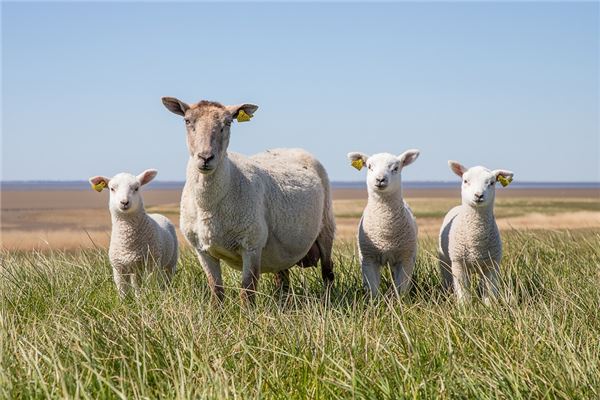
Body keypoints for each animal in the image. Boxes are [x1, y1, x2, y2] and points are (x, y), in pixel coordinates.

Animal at [162, 97, 336, 304]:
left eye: (228, 123)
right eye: (187, 121)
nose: (205, 157)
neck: (209, 205)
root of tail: (290, 148)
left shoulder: (251, 245)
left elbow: (247, 291)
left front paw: (247, 313)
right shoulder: (202, 250)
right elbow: (216, 290)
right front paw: (216, 310)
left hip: (326, 227)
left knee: (328, 271)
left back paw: (327, 301)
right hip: (281, 251)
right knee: (283, 278)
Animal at [346, 150, 422, 296]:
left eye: (396, 168)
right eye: (369, 167)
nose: (380, 179)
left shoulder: (405, 258)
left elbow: (401, 288)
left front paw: (400, 301)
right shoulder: (368, 259)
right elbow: (373, 289)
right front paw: (375, 301)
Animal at [436, 159, 516, 304]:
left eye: (492, 183)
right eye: (465, 181)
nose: (478, 195)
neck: (476, 240)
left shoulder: (492, 265)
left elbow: (489, 292)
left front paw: (489, 307)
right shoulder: (459, 264)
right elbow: (463, 294)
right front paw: (464, 308)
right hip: (445, 261)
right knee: (448, 279)